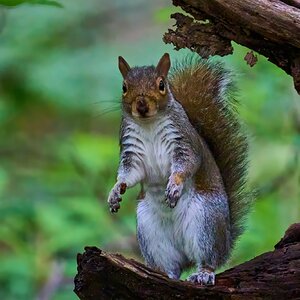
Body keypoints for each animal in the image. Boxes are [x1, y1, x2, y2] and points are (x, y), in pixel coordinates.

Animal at [107, 52, 248, 284]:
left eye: (161, 85)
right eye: (124, 87)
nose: (142, 105)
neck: (149, 124)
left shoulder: (184, 143)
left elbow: (186, 164)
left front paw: (174, 185)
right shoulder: (131, 152)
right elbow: (129, 173)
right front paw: (115, 191)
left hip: (206, 222)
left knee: (209, 259)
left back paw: (204, 273)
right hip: (150, 234)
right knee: (172, 266)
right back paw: (162, 274)